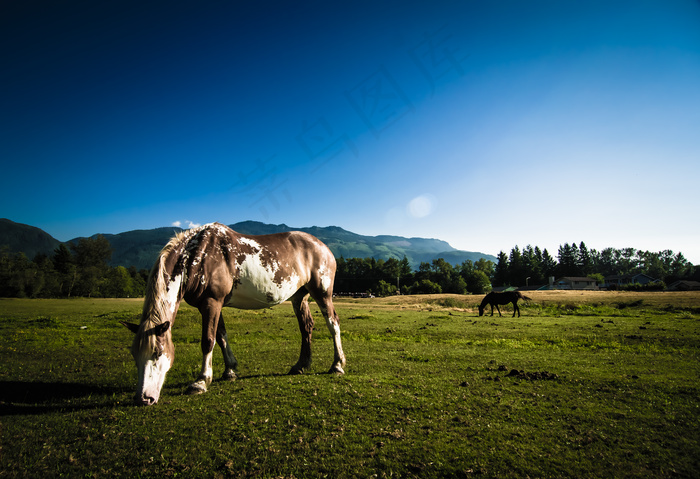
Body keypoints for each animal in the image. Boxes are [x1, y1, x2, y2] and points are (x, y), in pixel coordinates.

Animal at [124, 223, 348, 406]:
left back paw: (337, 365)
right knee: (306, 327)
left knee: (333, 323)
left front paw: (201, 381)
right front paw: (230, 371)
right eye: (134, 354)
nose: (144, 398)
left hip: (322, 293)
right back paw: (301, 366)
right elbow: (221, 336)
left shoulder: (212, 302)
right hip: (299, 297)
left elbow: (208, 340)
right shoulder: (213, 305)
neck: (198, 255)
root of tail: (323, 247)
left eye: (157, 353)